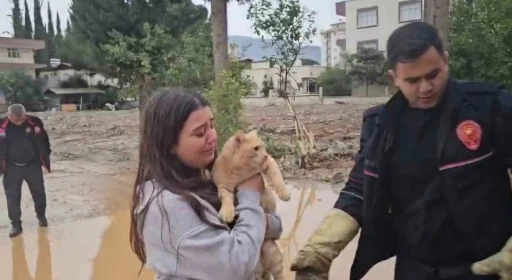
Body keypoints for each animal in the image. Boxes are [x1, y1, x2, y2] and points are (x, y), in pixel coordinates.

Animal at [211, 130, 290, 280]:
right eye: (256, 148)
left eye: (263, 147)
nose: (265, 155)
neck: (241, 170)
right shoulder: (224, 187)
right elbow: (227, 199)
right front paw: (227, 213)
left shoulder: (269, 163)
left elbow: (277, 177)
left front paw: (285, 194)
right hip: (256, 268)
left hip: (274, 257)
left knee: (279, 274)